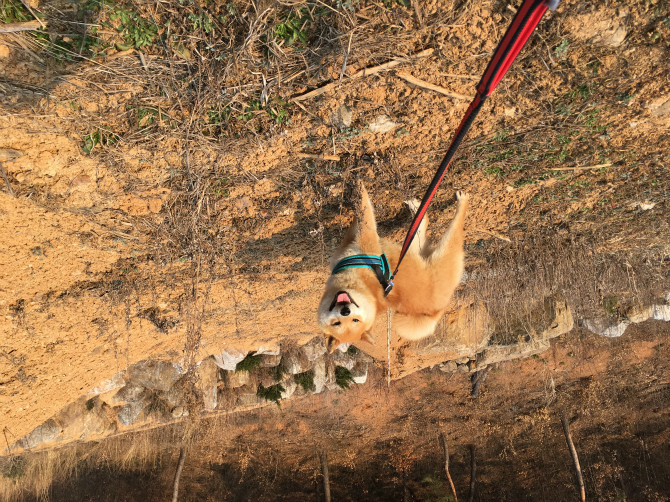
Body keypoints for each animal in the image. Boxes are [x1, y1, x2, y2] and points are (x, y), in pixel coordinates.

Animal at [318, 184, 470, 352]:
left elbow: (362, 214)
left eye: (355, 320)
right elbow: (364, 215)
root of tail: (436, 312)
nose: (345, 311)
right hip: (432, 253)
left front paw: (356, 189)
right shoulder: (365, 241)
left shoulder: (359, 242)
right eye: (336, 323)